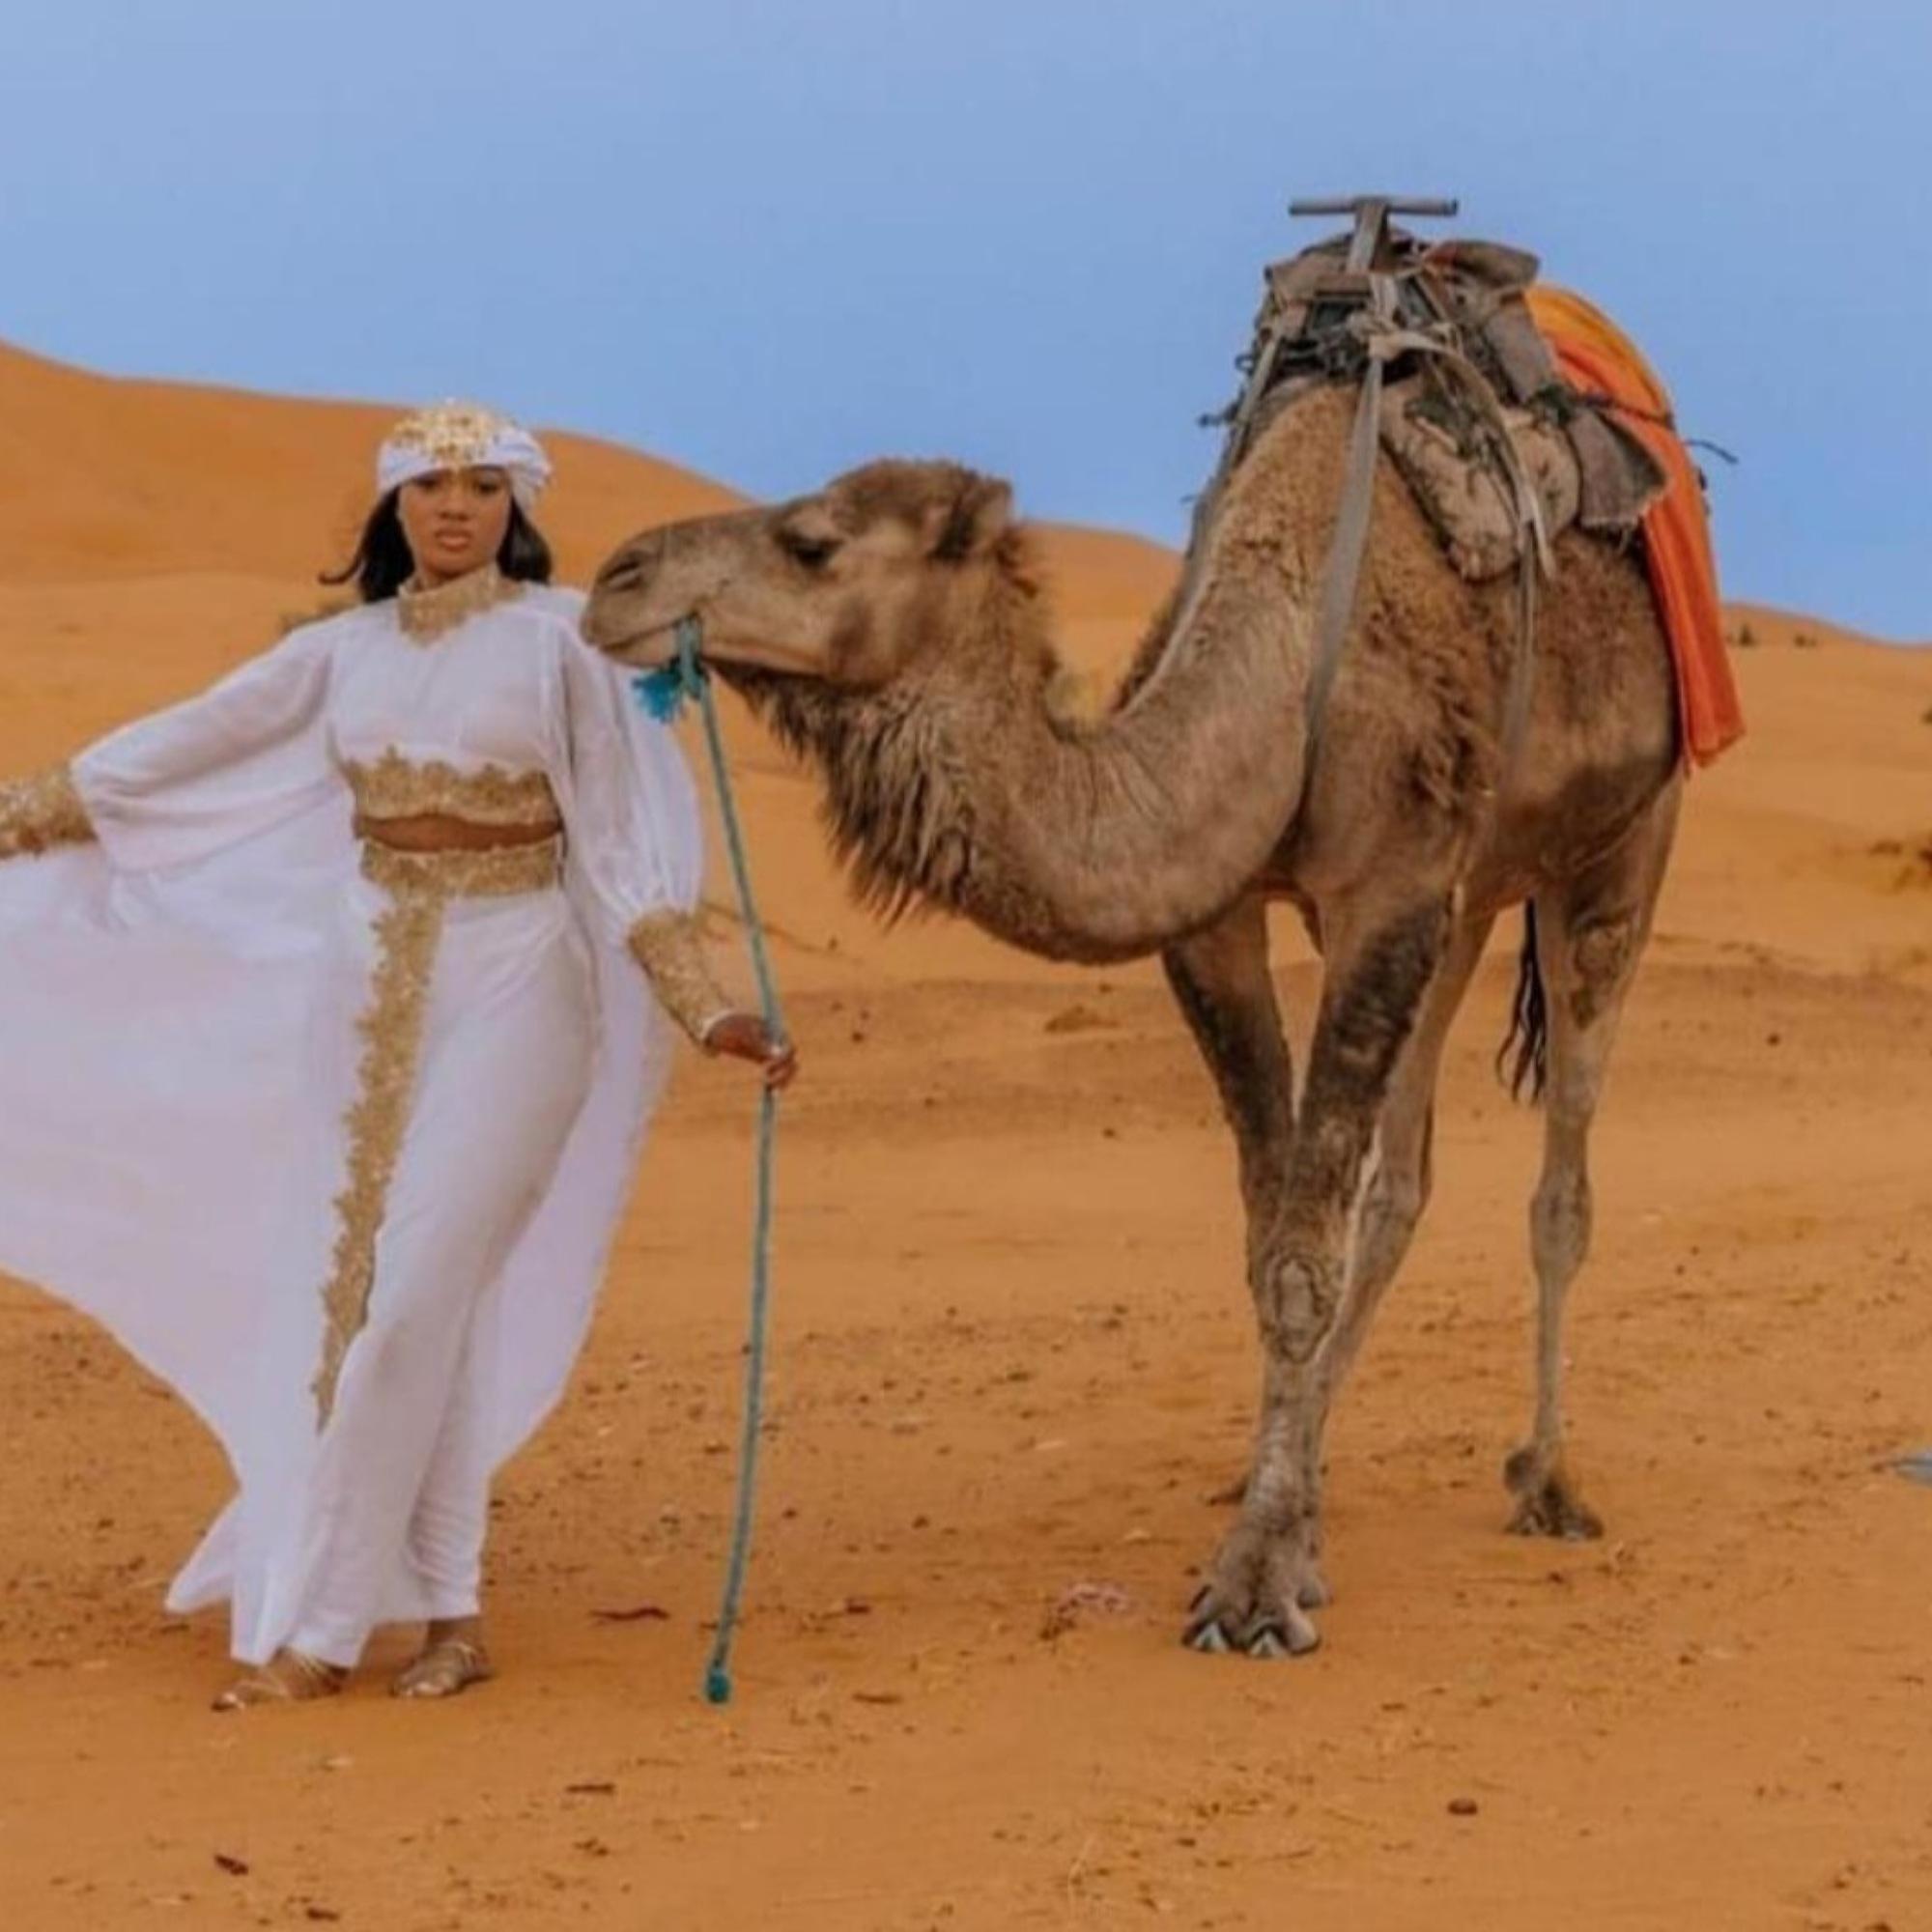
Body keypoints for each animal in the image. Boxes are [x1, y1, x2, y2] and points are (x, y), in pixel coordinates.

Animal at [582, 381, 1683, 1658]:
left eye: (812, 542)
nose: (614, 576)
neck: (1282, 673)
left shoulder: (1389, 892)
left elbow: (1302, 1254)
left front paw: (1253, 1586)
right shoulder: (1228, 921)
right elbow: (1273, 1238)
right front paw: (1284, 1525)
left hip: (1619, 847)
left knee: (1561, 1172)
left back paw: (1545, 1481)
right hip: (1470, 895)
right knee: (1402, 1179)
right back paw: (1317, 1463)